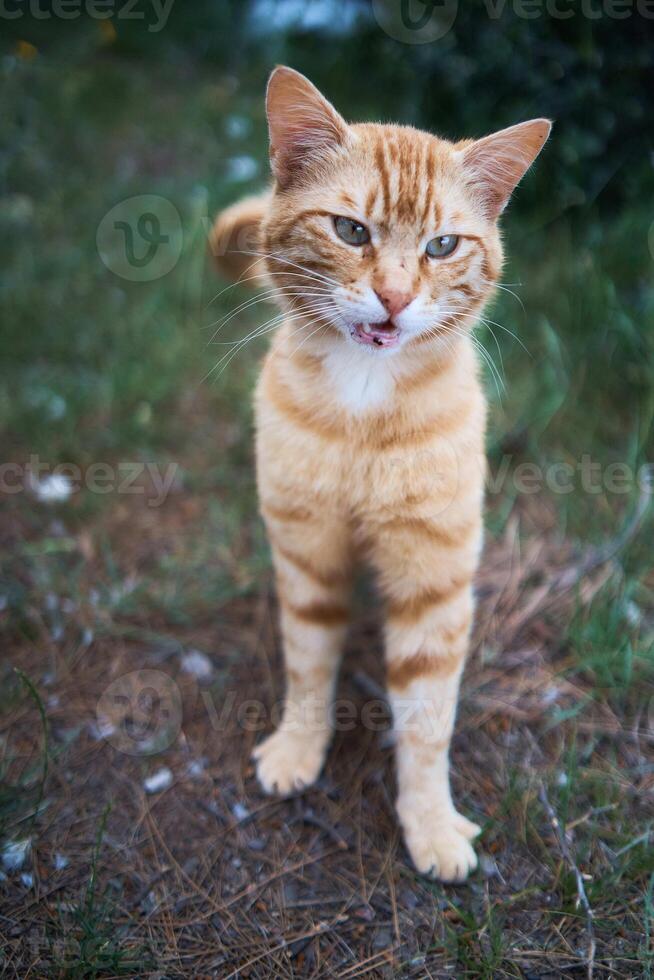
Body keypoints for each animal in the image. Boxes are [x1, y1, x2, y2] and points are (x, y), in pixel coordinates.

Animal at [213, 67, 552, 880]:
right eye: (352, 232)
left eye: (442, 245)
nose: (395, 299)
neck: (364, 404)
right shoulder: (306, 556)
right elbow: (308, 665)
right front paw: (298, 750)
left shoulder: (434, 585)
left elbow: (428, 720)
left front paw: (429, 826)